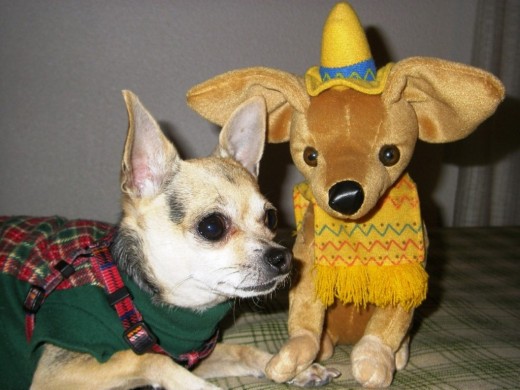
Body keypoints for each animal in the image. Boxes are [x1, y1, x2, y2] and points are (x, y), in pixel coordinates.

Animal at [1, 90, 338, 386]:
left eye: (271, 218)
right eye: (212, 227)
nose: (283, 257)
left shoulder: (196, 357)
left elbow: (241, 350)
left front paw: (298, 369)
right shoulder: (55, 373)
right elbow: (149, 358)